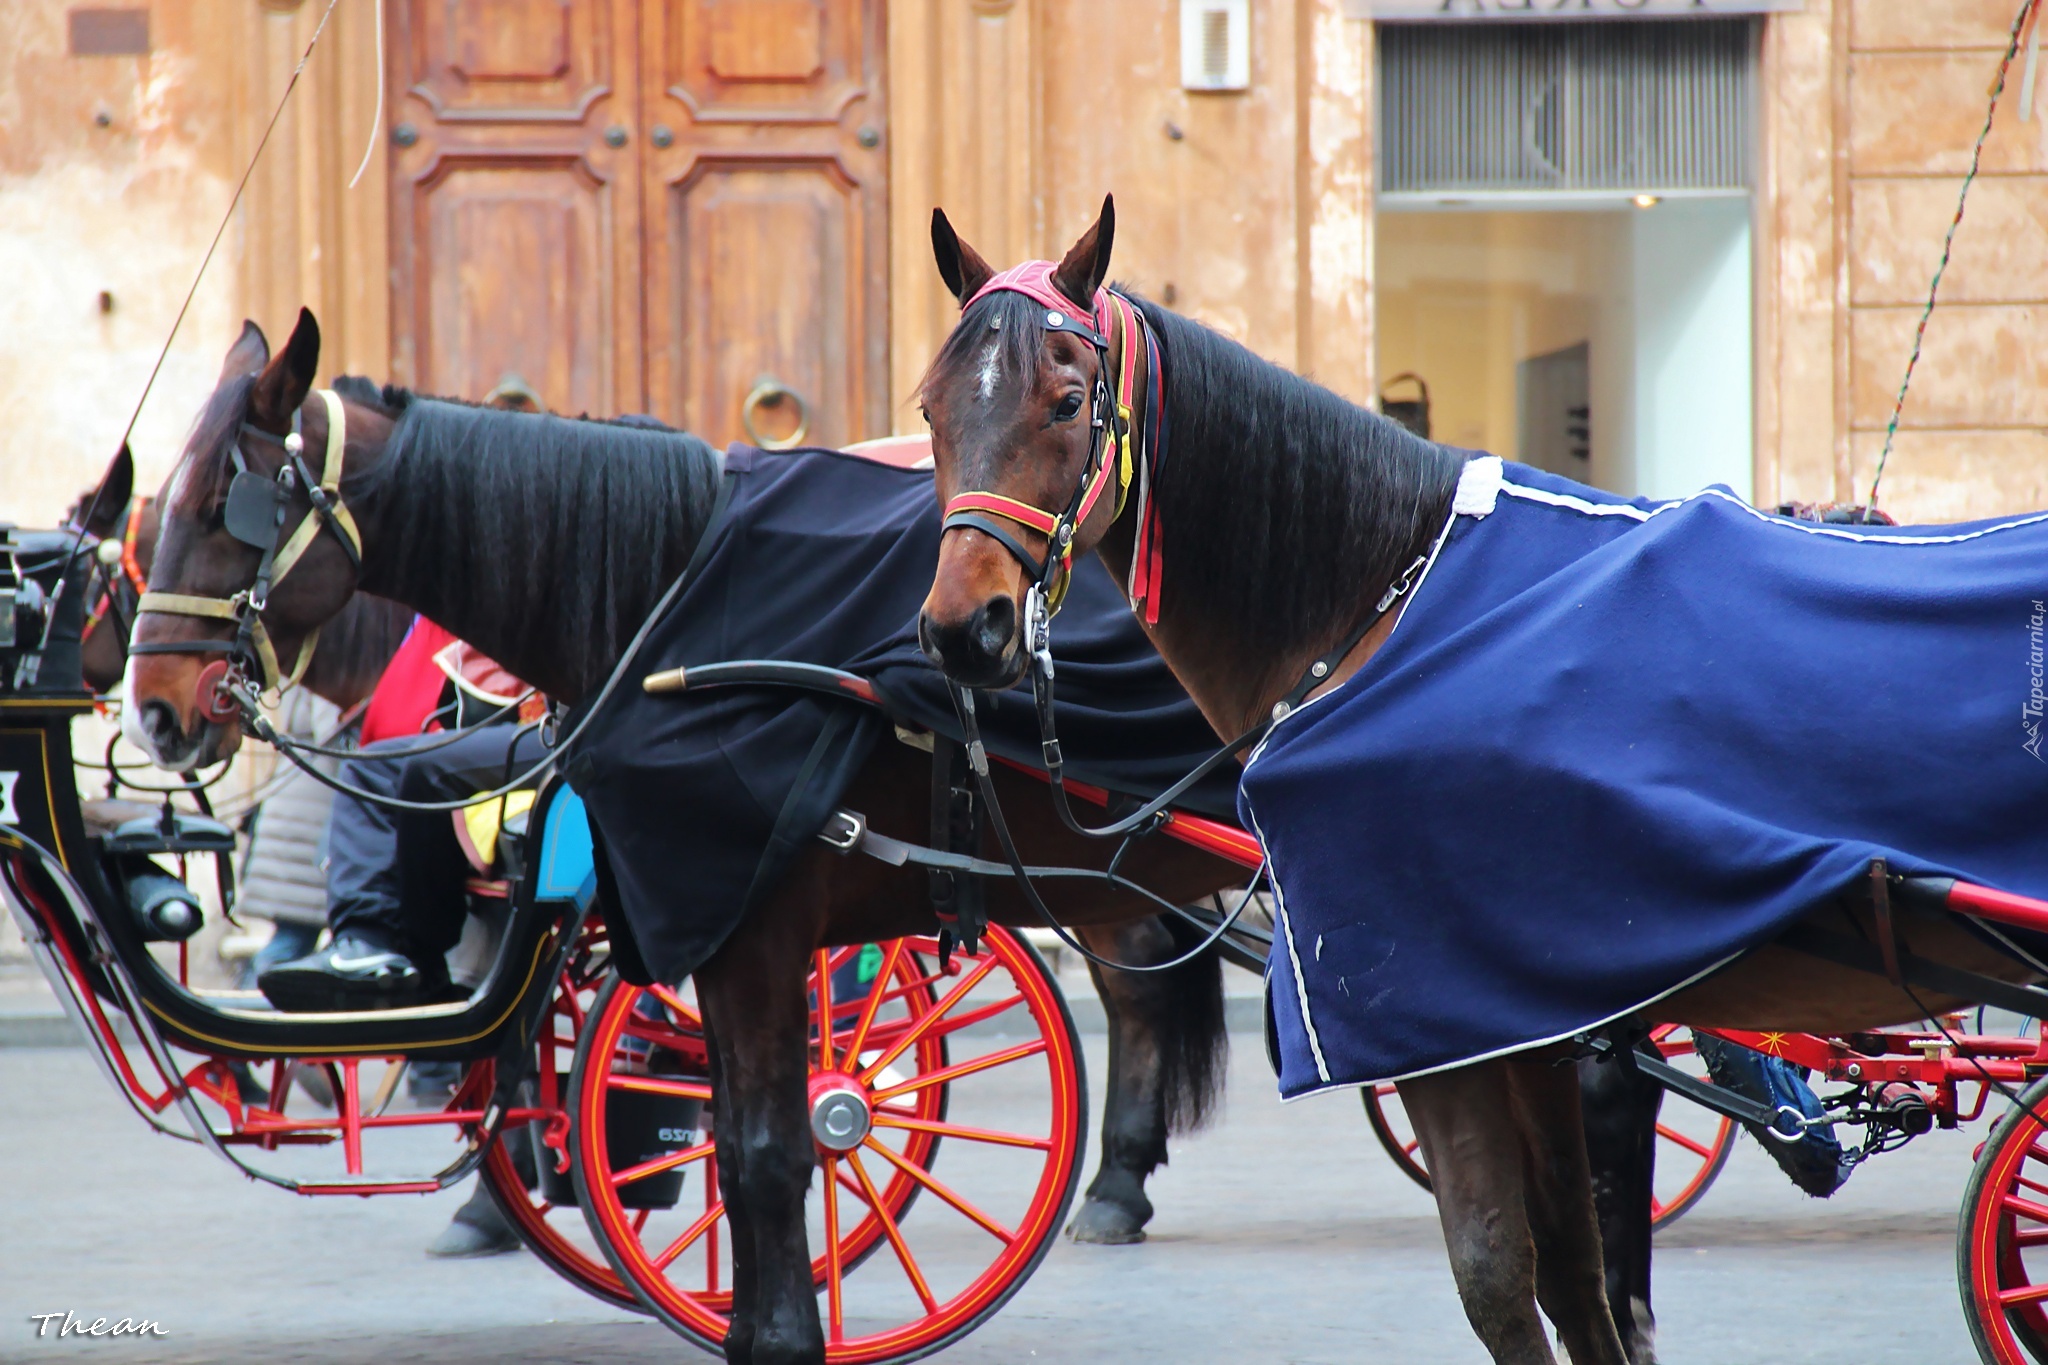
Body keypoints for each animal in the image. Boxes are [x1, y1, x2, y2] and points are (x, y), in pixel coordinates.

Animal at [119, 315, 1253, 1358]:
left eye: (222, 510)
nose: (154, 711)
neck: (675, 609)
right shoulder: (704, 929)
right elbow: (724, 1142)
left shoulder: (754, 928)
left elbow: (776, 1143)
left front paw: (782, 1330)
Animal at [917, 200, 2048, 1365]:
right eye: (930, 409)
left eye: (1065, 401)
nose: (964, 628)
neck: (1385, 605)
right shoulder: (1526, 1023)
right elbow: (1574, 1270)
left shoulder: (1452, 1026)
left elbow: (1501, 1273)